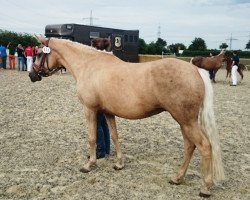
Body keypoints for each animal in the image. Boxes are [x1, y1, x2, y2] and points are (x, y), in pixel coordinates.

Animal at [28, 35, 225, 197]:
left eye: (38, 53)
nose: (31, 75)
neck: (89, 65)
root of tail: (195, 70)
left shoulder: (90, 109)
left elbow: (92, 138)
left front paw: (89, 165)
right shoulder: (108, 112)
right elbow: (115, 136)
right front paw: (119, 163)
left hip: (186, 121)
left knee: (204, 146)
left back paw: (205, 187)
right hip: (184, 121)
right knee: (190, 146)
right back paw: (177, 178)